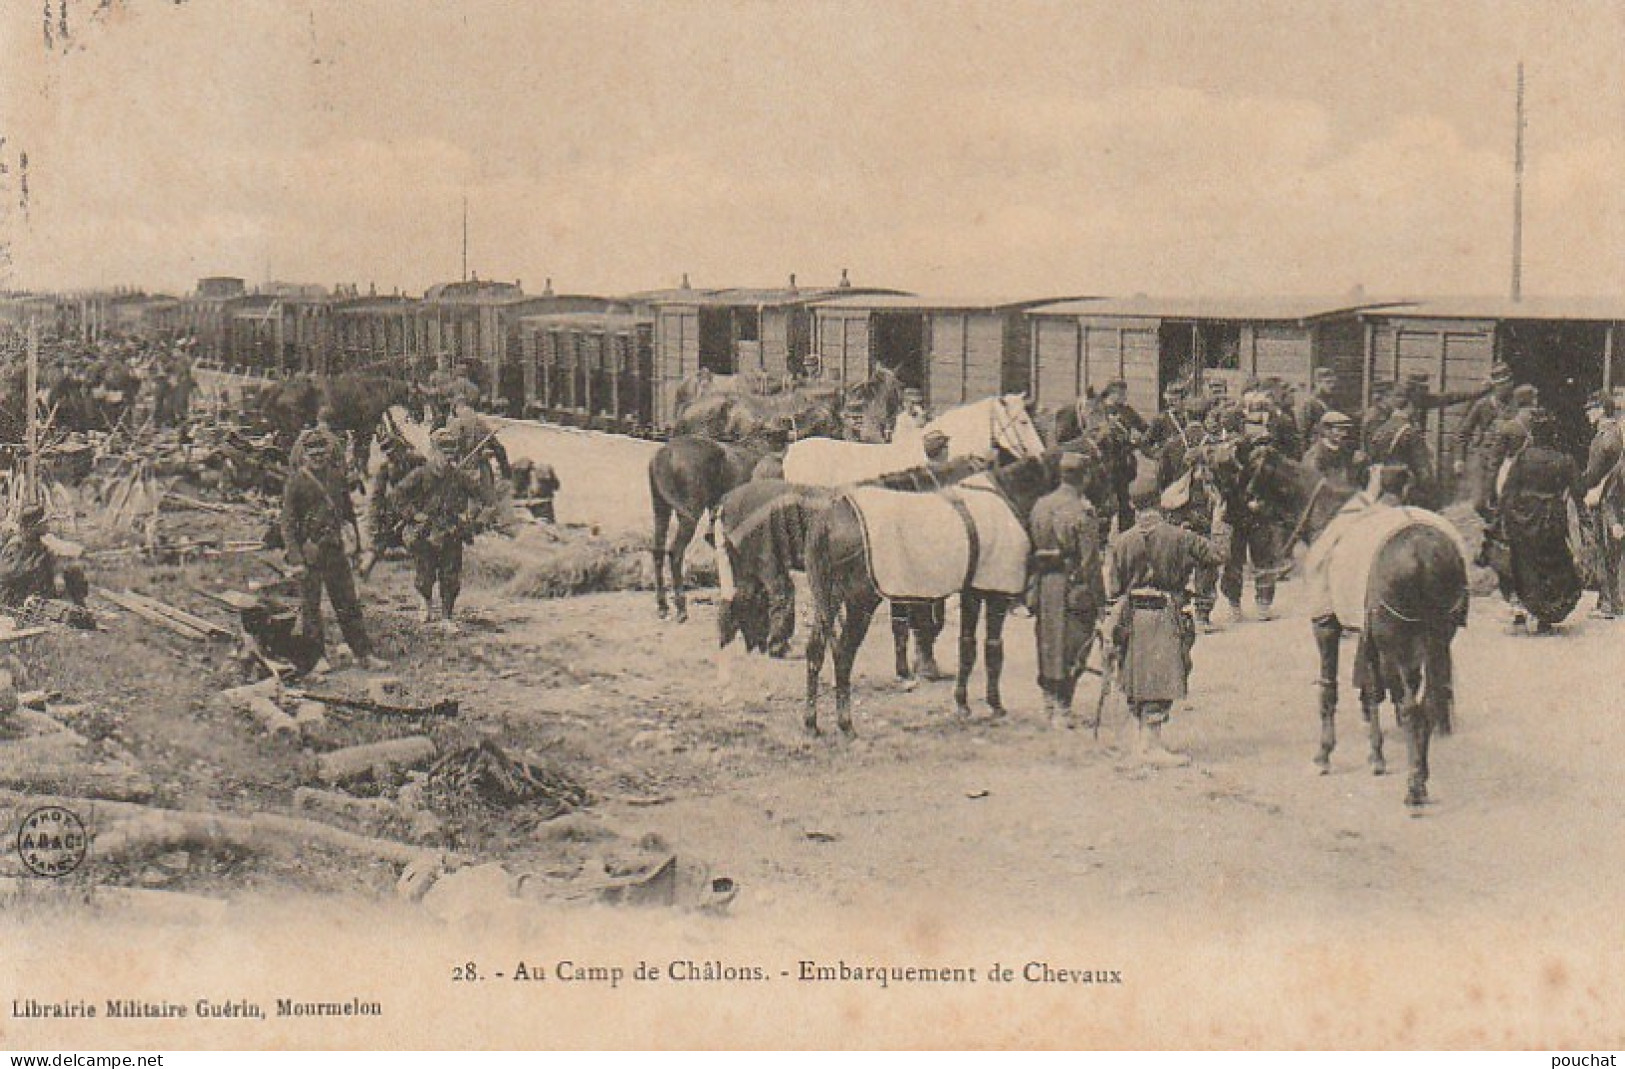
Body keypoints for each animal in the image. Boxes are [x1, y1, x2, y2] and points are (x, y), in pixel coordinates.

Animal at [643, 432, 776, 620]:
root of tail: (665, 452)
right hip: (689, 514)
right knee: (675, 553)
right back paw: (681, 607)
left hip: (661, 509)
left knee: (658, 551)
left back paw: (663, 606)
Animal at [796, 448, 1053, 734]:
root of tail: (828, 518)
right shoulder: (992, 593)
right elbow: (990, 647)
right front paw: (994, 705)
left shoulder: (969, 591)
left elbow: (964, 644)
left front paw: (960, 702)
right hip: (859, 604)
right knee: (843, 655)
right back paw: (846, 724)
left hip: (828, 600)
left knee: (815, 651)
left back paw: (811, 723)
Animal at [1235, 448, 1469, 809]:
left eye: (1247, 477)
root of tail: (1425, 553)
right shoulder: (1365, 634)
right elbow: (1371, 691)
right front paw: (1376, 755)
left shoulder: (1326, 624)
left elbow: (1329, 688)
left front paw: (1324, 754)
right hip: (1436, 639)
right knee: (1429, 701)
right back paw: (1422, 774)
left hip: (1400, 643)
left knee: (1412, 708)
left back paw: (1414, 786)